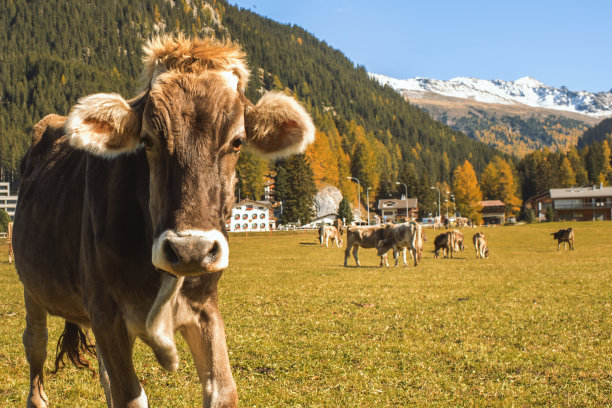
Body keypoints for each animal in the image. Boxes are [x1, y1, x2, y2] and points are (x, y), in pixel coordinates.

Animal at [13, 35, 316, 408]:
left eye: (237, 141)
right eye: (147, 141)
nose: (190, 250)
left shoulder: (203, 306)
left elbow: (223, 391)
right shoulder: (106, 311)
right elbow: (130, 396)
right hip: (33, 289)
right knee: (35, 345)